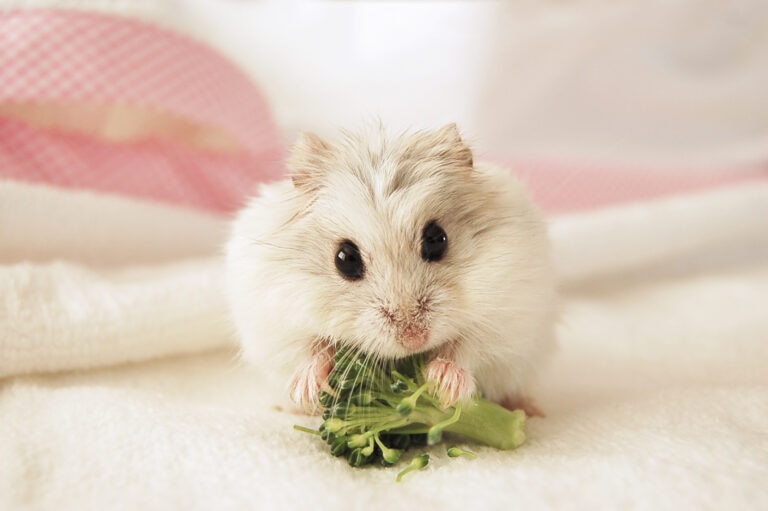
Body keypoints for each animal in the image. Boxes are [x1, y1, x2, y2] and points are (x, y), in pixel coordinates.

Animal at [225, 123, 557, 415]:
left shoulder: (506, 320)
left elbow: (467, 347)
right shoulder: (277, 322)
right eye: (345, 259)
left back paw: (529, 410)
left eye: (437, 240)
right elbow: (308, 350)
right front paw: (308, 391)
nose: (413, 340)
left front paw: (443, 385)